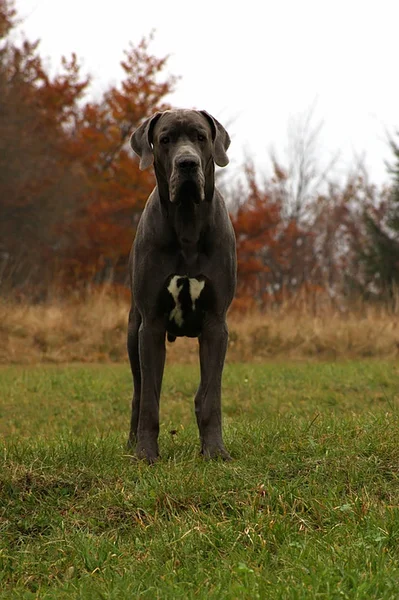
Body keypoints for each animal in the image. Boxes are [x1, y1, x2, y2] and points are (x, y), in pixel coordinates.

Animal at [127, 109, 238, 464]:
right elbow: (150, 399)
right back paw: (131, 444)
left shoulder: (216, 325)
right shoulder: (150, 325)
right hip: (132, 332)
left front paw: (215, 450)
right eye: (165, 140)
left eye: (201, 137)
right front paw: (146, 453)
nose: (187, 163)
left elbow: (211, 396)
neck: (188, 221)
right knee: (138, 393)